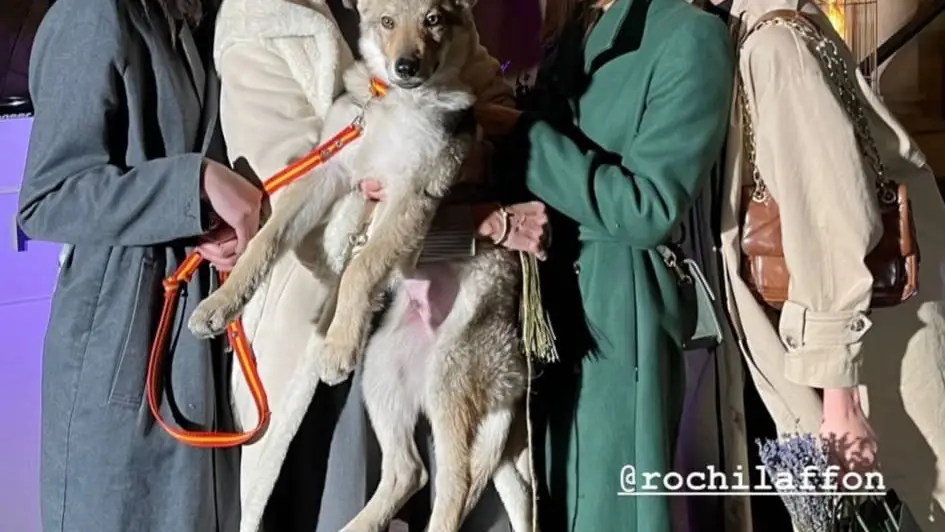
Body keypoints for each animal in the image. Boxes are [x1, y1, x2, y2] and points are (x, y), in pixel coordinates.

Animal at [188, 0, 536, 528]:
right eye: (388, 22)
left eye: (434, 19)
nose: (406, 67)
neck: (394, 105)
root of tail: (512, 373)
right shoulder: (327, 171)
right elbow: (267, 240)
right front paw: (222, 303)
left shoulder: (412, 195)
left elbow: (362, 267)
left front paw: (337, 343)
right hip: (384, 374)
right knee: (411, 472)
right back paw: (360, 523)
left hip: (449, 380)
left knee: (456, 485)